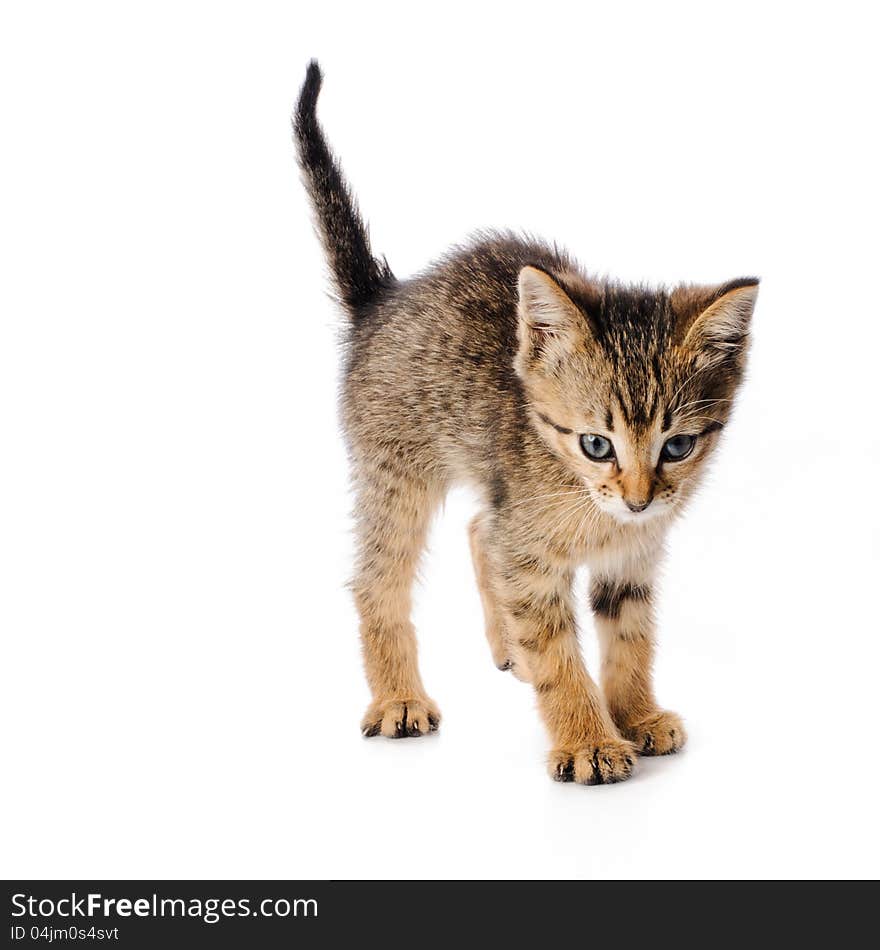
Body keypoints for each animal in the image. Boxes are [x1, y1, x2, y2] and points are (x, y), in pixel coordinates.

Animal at [294, 61, 756, 788]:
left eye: (678, 445)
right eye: (596, 444)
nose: (639, 499)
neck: (585, 501)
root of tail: (382, 298)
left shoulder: (631, 556)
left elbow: (630, 635)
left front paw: (636, 714)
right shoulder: (533, 559)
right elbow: (558, 653)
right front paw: (588, 741)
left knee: (480, 527)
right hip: (395, 473)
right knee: (378, 578)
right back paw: (398, 698)